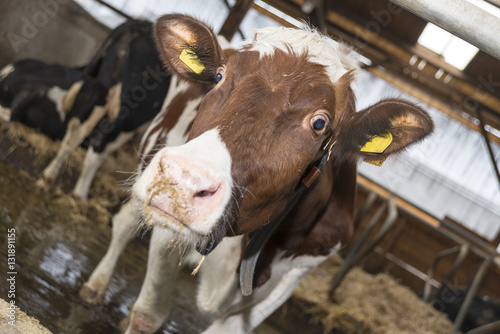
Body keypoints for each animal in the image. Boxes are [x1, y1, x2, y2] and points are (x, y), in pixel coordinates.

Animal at [80, 14, 432, 332]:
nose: (182, 180)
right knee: (120, 206)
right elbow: (147, 314)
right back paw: (94, 279)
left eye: (320, 123)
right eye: (219, 76)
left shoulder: (289, 279)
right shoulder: (171, 234)